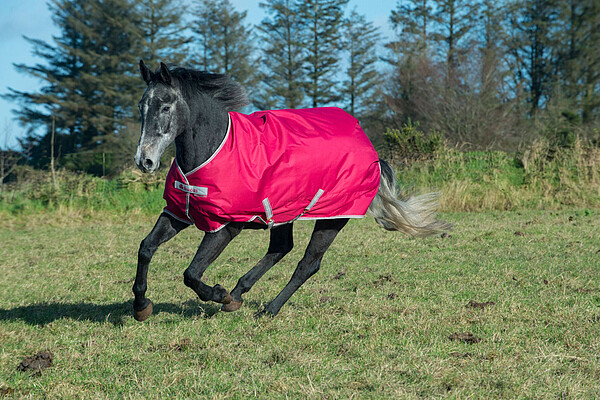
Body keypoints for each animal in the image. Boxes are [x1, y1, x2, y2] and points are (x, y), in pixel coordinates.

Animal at [132, 60, 450, 322]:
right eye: (141, 106)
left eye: (165, 106)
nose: (144, 161)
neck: (215, 149)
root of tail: (372, 152)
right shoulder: (178, 212)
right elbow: (146, 248)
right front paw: (141, 306)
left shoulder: (226, 226)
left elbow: (192, 273)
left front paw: (220, 294)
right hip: (281, 212)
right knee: (281, 248)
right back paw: (240, 292)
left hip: (332, 218)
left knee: (307, 264)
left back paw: (267, 309)